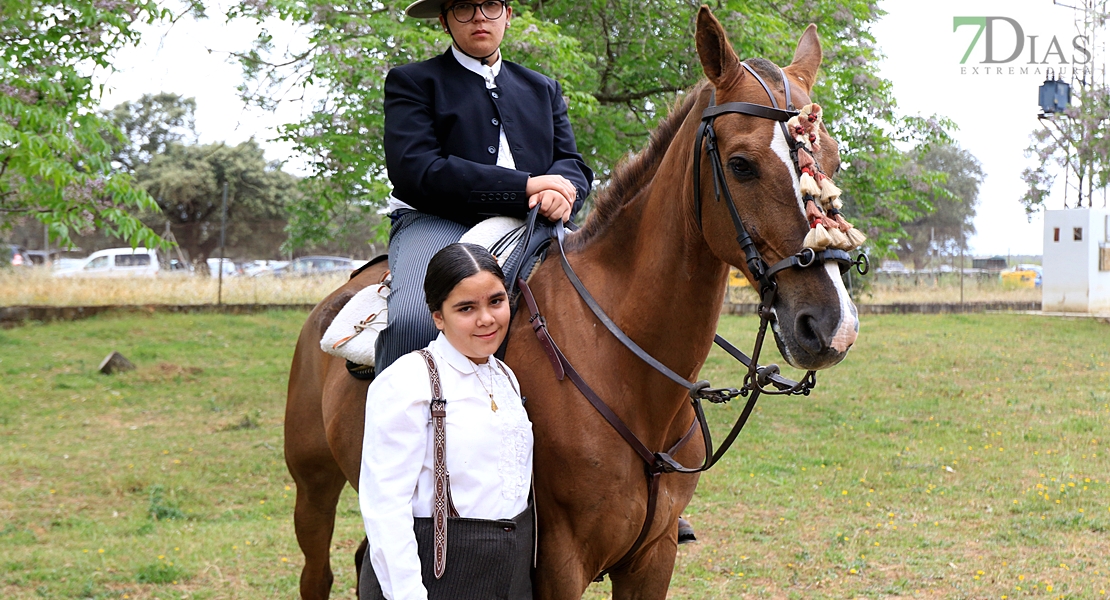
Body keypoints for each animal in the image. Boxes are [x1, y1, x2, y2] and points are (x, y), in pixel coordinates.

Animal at [284, 7, 856, 594]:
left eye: (834, 160)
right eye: (742, 164)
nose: (831, 326)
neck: (626, 369)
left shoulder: (655, 557)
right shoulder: (560, 563)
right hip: (314, 487)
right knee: (318, 573)